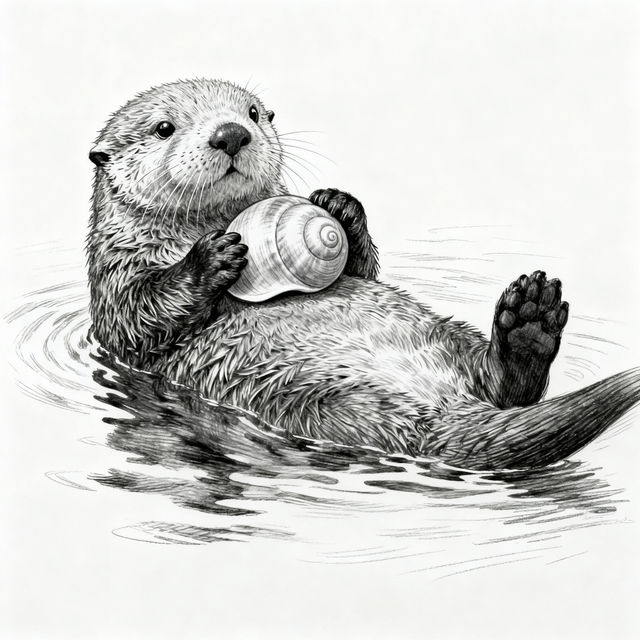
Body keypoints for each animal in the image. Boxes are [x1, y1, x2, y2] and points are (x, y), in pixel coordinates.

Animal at [87, 78, 639, 471]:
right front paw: (212, 257)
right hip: (318, 399)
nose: (231, 134)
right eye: (163, 128)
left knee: (505, 383)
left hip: (451, 339)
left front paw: (339, 207)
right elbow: (137, 317)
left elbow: (365, 269)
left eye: (252, 113)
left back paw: (530, 321)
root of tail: (438, 408)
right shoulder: (115, 275)